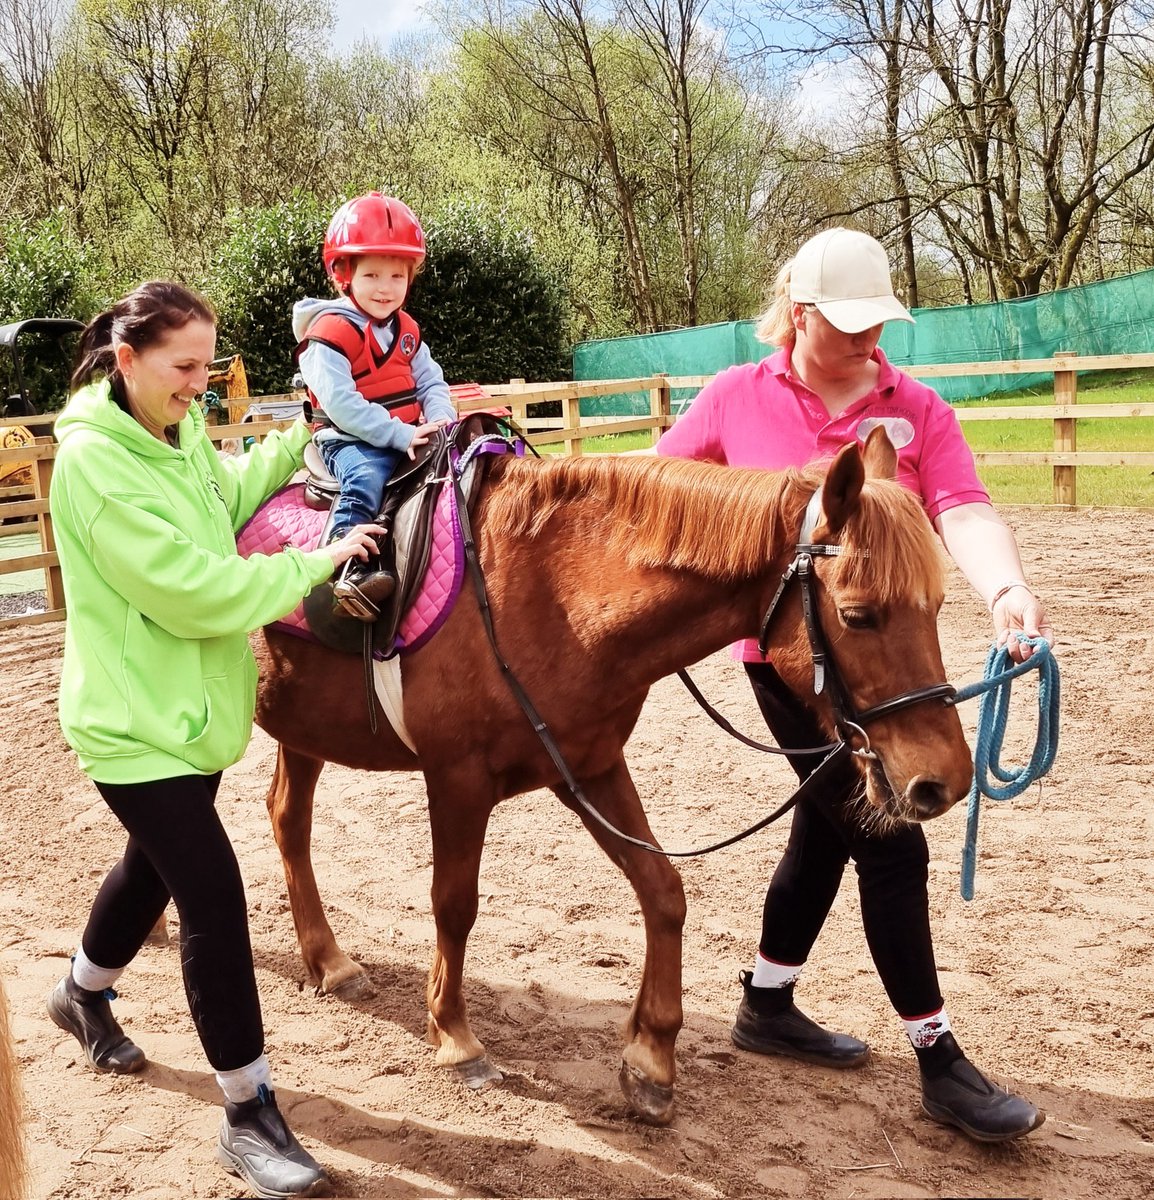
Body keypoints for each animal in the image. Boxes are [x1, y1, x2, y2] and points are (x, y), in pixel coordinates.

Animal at [252, 428, 973, 1124]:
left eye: (939, 604)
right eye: (858, 614)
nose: (944, 781)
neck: (549, 594)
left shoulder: (590, 768)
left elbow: (663, 891)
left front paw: (651, 1058)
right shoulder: (457, 780)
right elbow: (454, 904)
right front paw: (456, 1039)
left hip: (304, 728)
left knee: (288, 820)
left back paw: (330, 963)